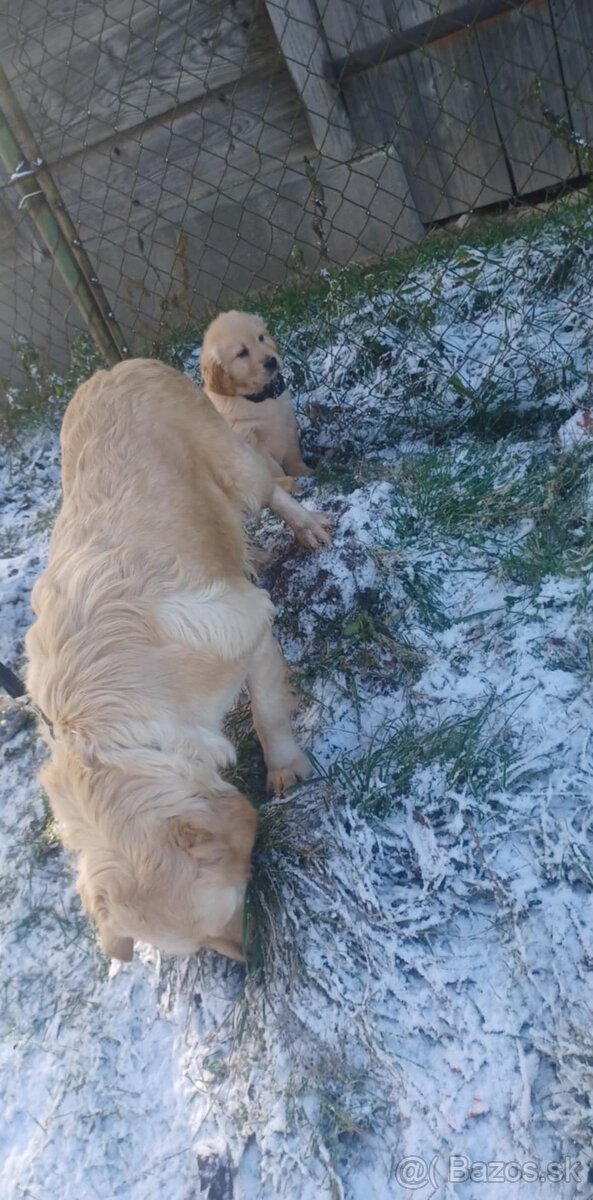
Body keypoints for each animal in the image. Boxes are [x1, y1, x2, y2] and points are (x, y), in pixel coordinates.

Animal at [25, 357, 324, 964]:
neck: (105, 733)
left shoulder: (248, 626)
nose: (247, 962)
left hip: (231, 459)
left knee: (270, 491)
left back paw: (306, 526)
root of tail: (117, 365)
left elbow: (268, 714)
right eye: (203, 944)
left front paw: (285, 768)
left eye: (234, 904)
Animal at [201, 314, 312, 492]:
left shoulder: (287, 422)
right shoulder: (251, 443)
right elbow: (273, 467)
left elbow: (293, 453)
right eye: (241, 353)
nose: (271, 361)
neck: (259, 398)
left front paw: (304, 471)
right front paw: (290, 482)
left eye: (261, 338)